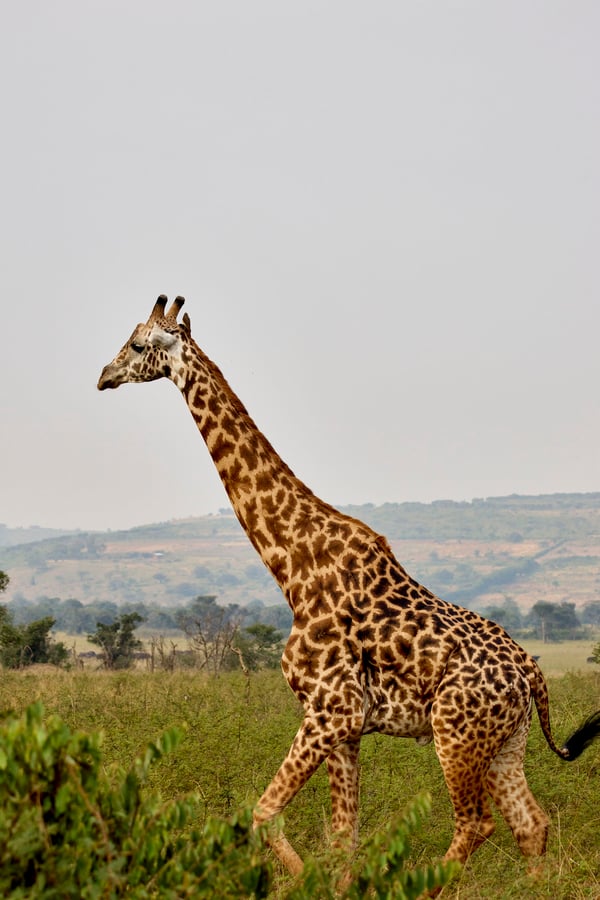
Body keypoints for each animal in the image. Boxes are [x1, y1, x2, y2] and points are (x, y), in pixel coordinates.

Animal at [98, 295, 600, 877]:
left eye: (137, 345)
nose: (104, 376)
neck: (293, 567)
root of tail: (532, 674)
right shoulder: (345, 726)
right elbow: (343, 837)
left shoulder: (330, 710)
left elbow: (265, 814)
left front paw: (300, 880)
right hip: (504, 741)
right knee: (530, 824)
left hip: (456, 733)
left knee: (476, 824)